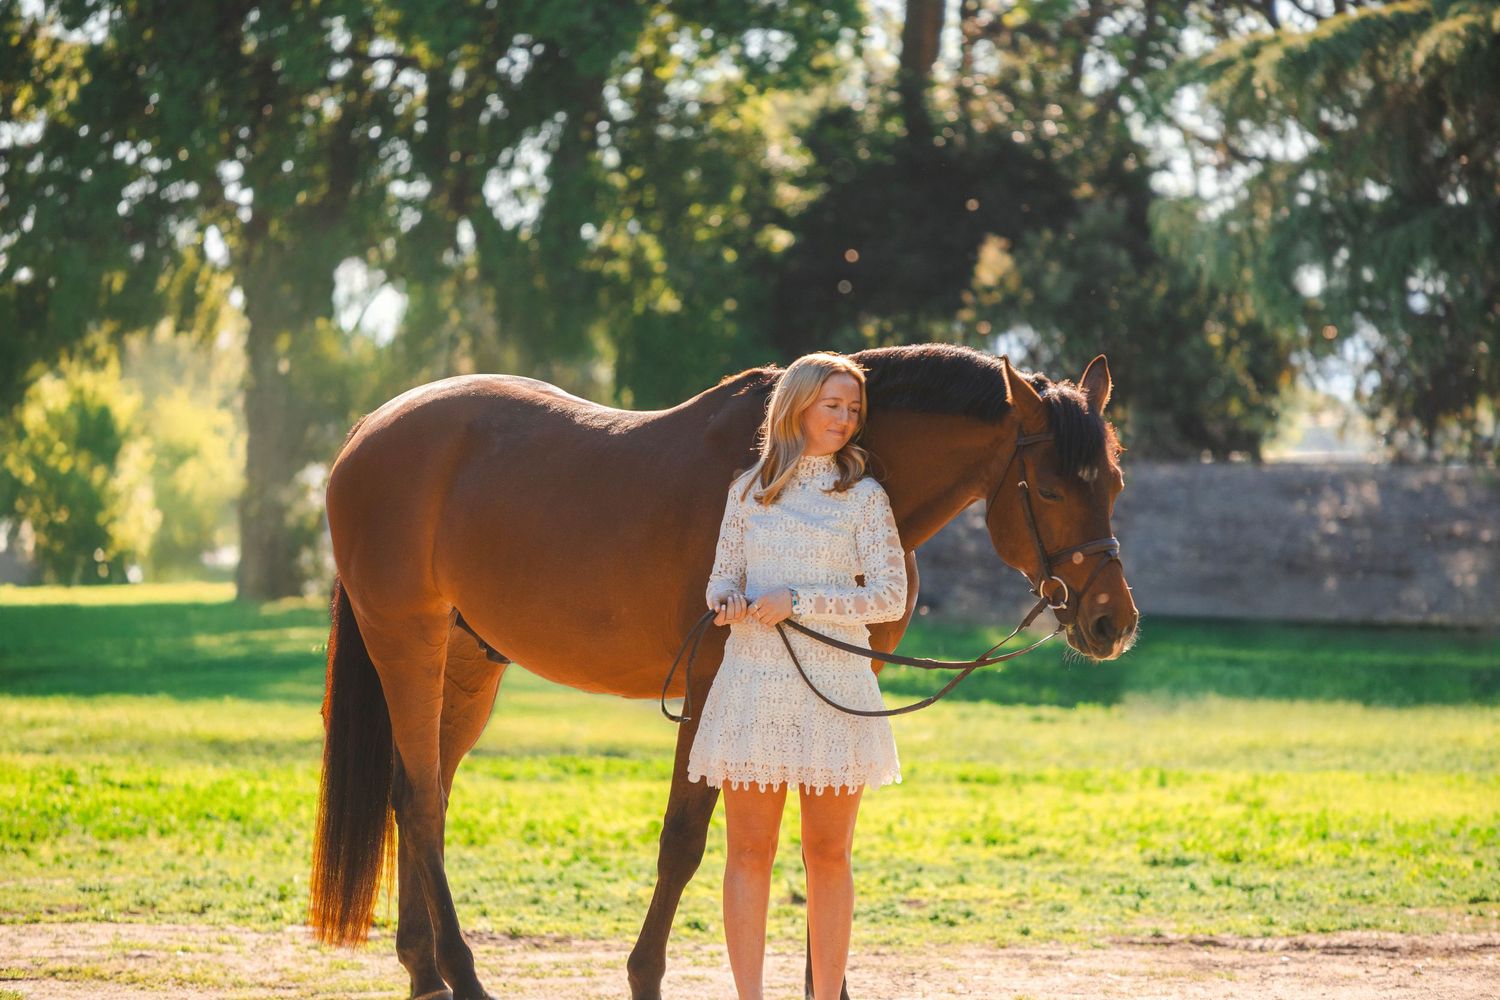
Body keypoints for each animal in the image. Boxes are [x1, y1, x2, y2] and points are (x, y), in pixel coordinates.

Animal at [309, 343, 1138, 1000]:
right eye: (1051, 488)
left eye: (1115, 484)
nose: (1113, 622)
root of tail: (367, 433)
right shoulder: (711, 682)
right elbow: (683, 839)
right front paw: (644, 976)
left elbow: (817, 837)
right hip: (408, 642)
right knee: (420, 801)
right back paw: (462, 975)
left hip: (468, 664)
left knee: (422, 794)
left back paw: (424, 971)